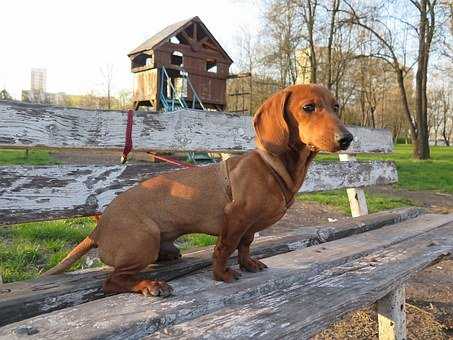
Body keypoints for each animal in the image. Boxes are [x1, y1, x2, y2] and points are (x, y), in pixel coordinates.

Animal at [44, 84, 352, 298]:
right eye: (309, 107)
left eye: (336, 106)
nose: (347, 138)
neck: (272, 166)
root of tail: (98, 229)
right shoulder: (235, 219)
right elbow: (224, 248)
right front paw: (222, 275)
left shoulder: (249, 226)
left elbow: (245, 245)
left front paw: (248, 264)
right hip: (145, 240)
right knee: (112, 282)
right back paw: (150, 285)